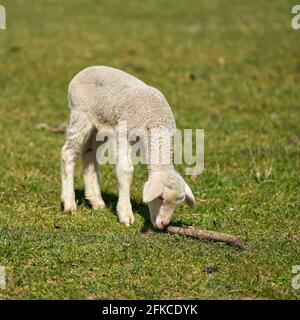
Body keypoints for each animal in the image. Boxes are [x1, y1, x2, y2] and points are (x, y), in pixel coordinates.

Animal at [61, 66, 196, 229]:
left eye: (178, 204)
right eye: (160, 198)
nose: (163, 224)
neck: (156, 121)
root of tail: (86, 69)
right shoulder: (122, 134)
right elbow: (126, 170)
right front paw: (125, 214)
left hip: (100, 124)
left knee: (89, 153)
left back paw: (96, 200)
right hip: (79, 114)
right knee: (68, 152)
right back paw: (69, 203)